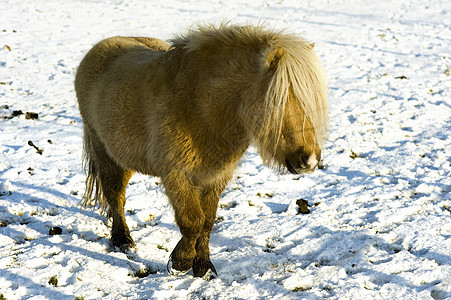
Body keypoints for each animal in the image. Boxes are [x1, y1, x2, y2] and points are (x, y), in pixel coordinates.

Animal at [74, 22, 328, 278]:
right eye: (278, 100)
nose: (310, 160)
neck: (200, 107)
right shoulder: (176, 174)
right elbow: (192, 221)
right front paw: (180, 262)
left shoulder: (216, 176)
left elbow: (207, 221)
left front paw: (203, 265)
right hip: (108, 155)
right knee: (116, 196)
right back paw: (122, 240)